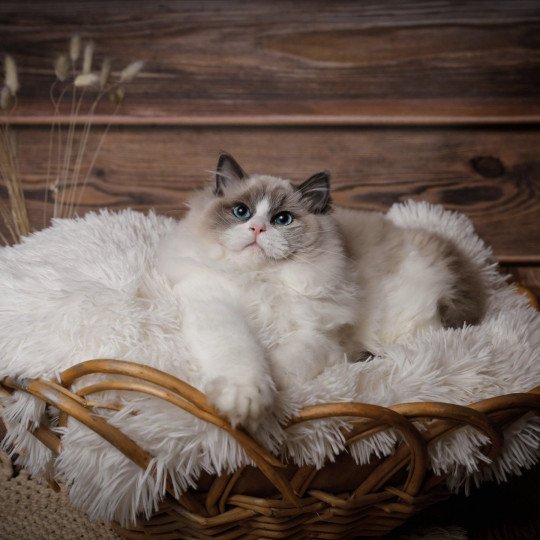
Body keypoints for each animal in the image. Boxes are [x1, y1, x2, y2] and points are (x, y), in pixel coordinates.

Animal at [157, 154, 486, 428]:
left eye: (282, 219)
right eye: (242, 212)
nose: (258, 229)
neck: (262, 281)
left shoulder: (319, 337)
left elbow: (277, 364)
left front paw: (268, 394)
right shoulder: (215, 307)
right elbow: (242, 357)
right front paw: (246, 403)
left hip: (406, 326)